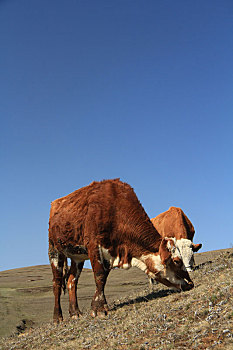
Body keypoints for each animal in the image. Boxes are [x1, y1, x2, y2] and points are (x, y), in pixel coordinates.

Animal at [48, 180, 194, 322]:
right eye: (177, 261)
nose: (190, 284)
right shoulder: (94, 247)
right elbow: (99, 275)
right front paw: (99, 309)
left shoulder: (109, 254)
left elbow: (102, 279)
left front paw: (97, 306)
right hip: (54, 250)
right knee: (57, 283)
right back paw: (57, 318)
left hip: (77, 257)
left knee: (71, 281)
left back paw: (75, 313)